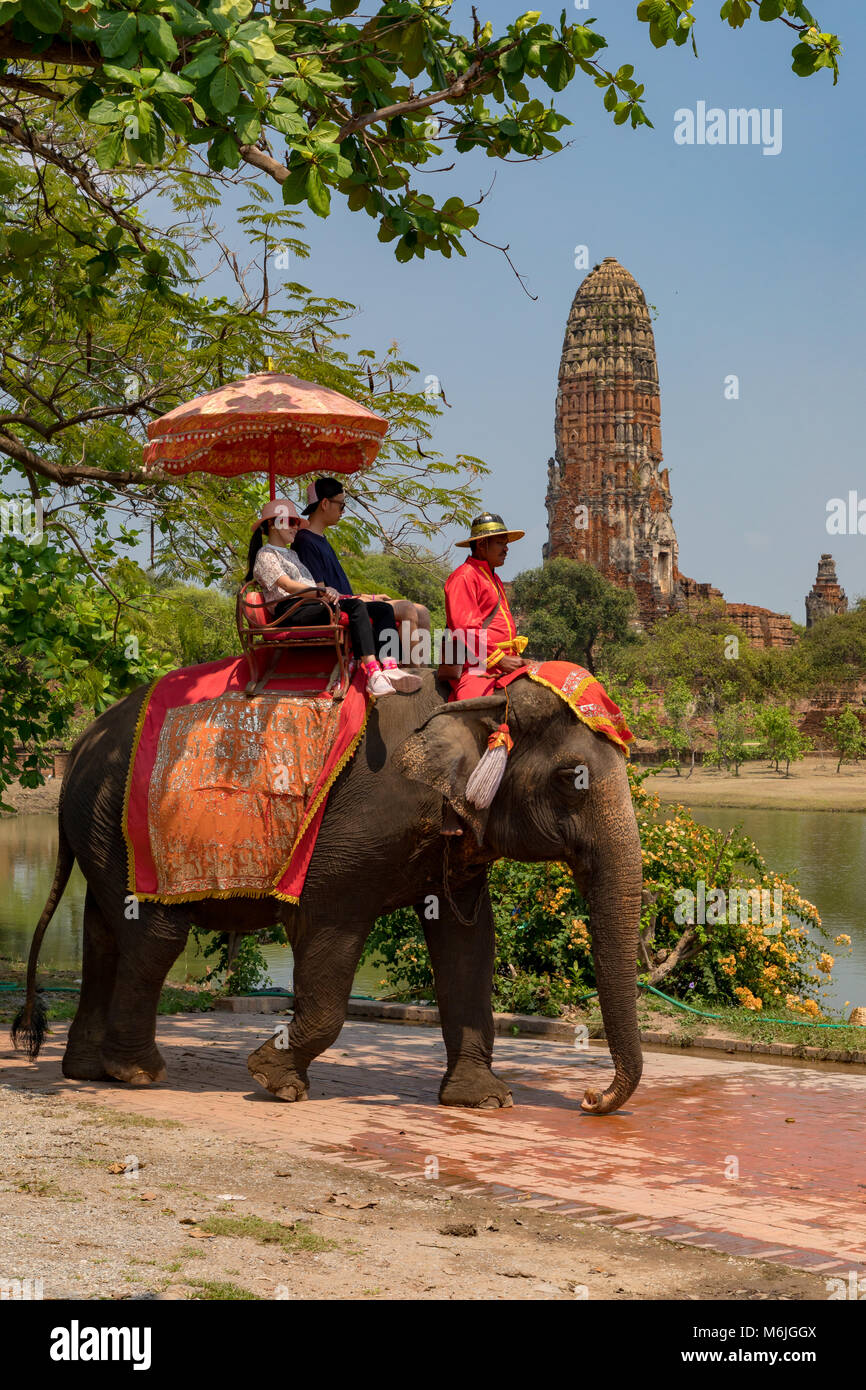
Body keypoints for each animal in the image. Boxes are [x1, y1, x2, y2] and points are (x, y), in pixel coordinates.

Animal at [13, 667, 644, 1112]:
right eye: (569, 780)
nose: (590, 1099)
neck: (476, 693)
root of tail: (77, 748)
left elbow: (469, 943)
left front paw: (483, 1100)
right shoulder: (355, 832)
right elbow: (328, 929)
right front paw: (273, 1080)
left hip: (99, 827)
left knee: (103, 932)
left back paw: (86, 1072)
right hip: (130, 829)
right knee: (155, 937)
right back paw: (137, 1073)